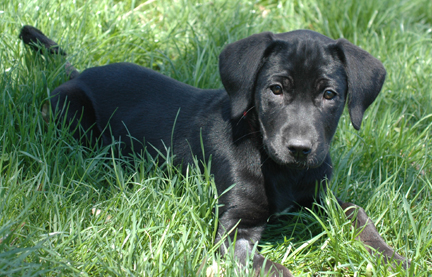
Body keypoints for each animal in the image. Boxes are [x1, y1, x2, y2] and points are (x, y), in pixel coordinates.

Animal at [19, 25, 408, 274]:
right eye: (275, 89)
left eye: (329, 95)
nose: (300, 149)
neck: (280, 169)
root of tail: (80, 73)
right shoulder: (234, 230)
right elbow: (271, 267)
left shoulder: (320, 196)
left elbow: (358, 212)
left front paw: (391, 256)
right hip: (69, 111)